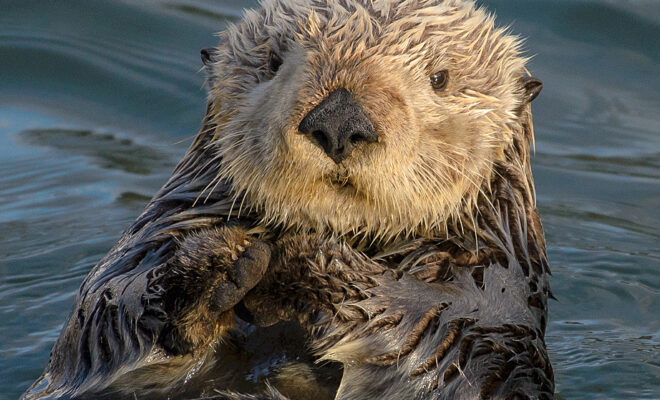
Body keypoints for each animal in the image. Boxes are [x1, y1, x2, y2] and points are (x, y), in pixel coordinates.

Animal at [23, 0, 552, 398]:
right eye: (273, 62)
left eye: (440, 78)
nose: (339, 120)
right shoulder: (139, 257)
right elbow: (102, 317)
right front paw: (217, 263)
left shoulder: (494, 311)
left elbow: (444, 335)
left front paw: (299, 266)